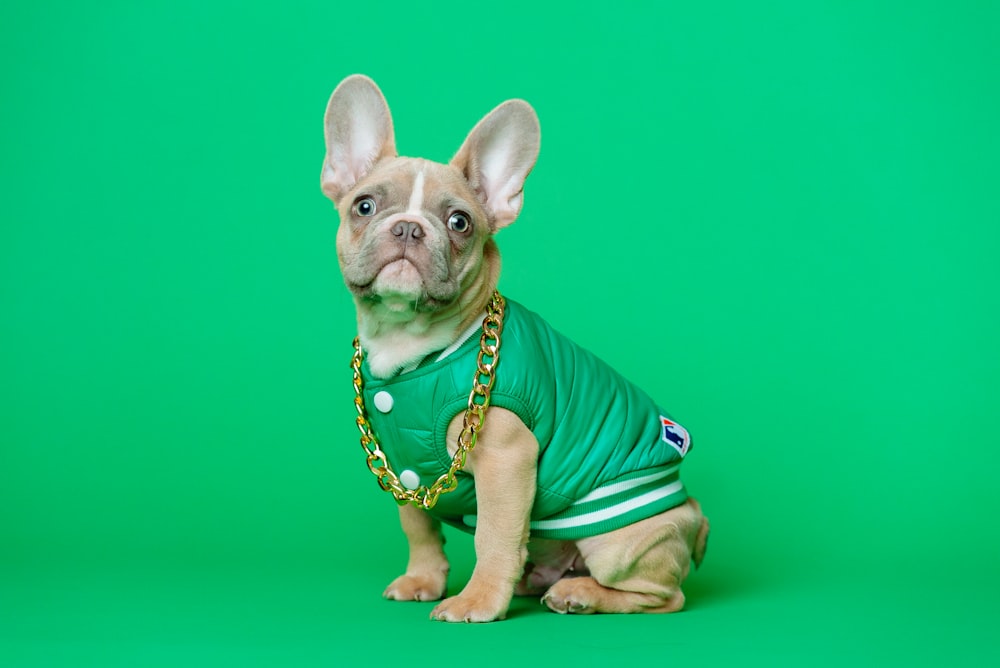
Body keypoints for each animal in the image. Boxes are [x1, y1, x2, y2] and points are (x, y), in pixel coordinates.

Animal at [324, 75, 708, 624]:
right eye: (364, 206)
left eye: (460, 222)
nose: (409, 227)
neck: (412, 349)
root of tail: (693, 514)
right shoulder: (401, 467)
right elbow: (417, 527)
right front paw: (423, 579)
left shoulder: (506, 461)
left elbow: (494, 537)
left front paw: (478, 601)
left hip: (618, 539)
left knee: (662, 596)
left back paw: (580, 594)